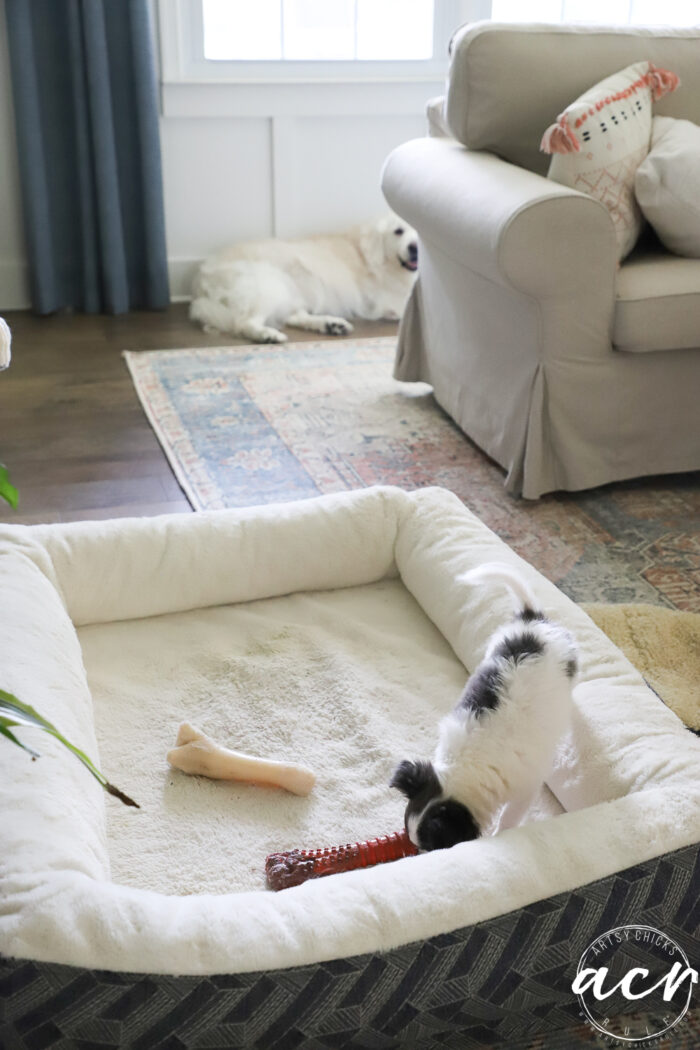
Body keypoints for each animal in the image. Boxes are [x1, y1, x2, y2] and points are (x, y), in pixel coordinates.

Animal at [188, 213, 419, 344]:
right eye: (398, 231)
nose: (415, 247)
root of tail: (200, 280)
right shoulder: (393, 303)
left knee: (293, 316)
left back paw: (331, 325)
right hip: (270, 286)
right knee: (244, 323)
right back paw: (268, 335)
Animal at [392, 567, 579, 852]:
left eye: (433, 847)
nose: (418, 853)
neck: (465, 766)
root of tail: (532, 620)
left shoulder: (524, 790)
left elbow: (510, 818)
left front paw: (500, 833)